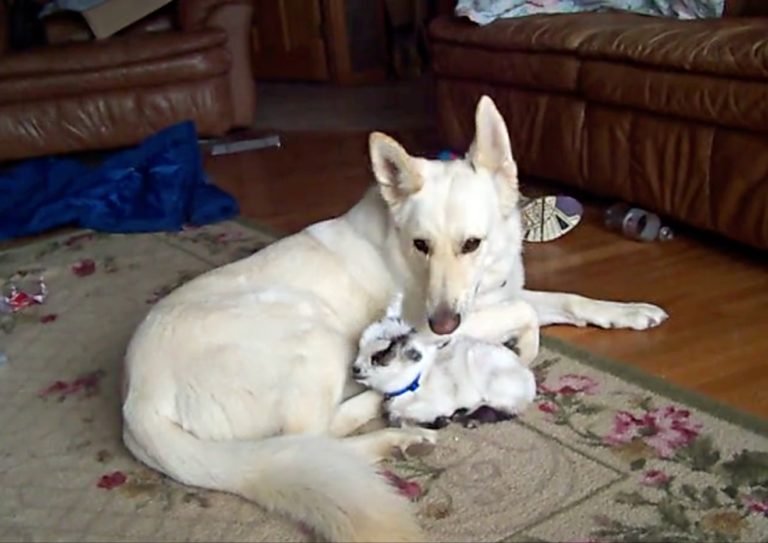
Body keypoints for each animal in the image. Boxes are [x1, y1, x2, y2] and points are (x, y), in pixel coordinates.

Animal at [120, 95, 664, 540]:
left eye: (472, 243)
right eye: (422, 245)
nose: (442, 327)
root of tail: (136, 400)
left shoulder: (491, 297)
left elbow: (564, 298)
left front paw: (629, 312)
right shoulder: (442, 324)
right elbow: (525, 310)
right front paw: (523, 346)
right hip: (314, 335)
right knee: (311, 440)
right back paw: (390, 423)